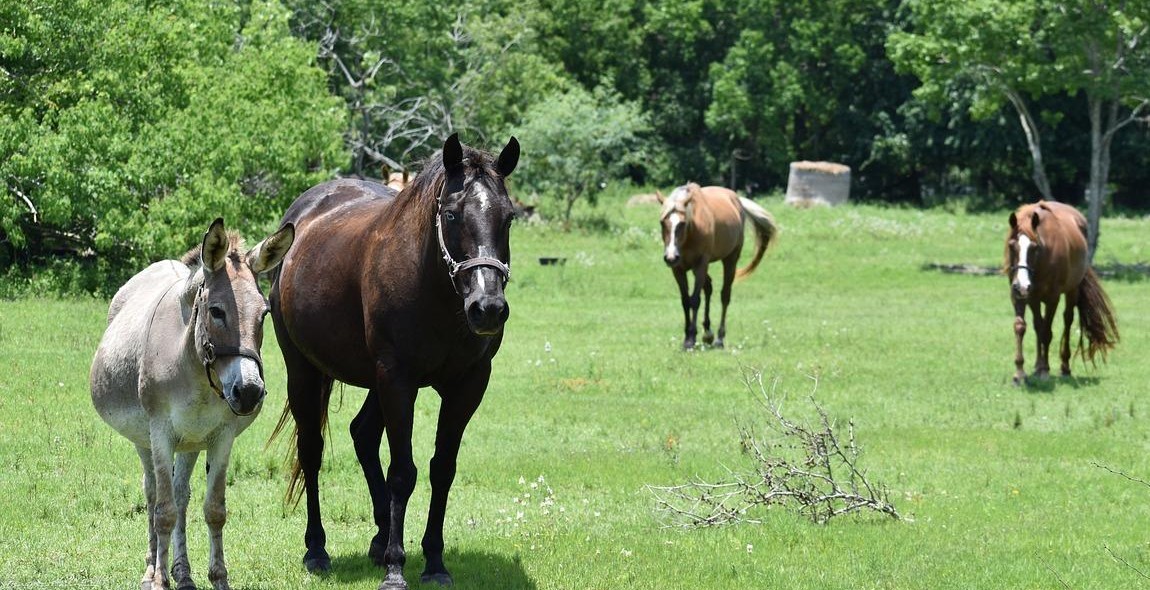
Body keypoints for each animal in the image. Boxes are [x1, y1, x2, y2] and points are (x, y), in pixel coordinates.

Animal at [90, 218, 296, 588]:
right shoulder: (160, 434)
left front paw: (218, 578)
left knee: (181, 493)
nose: (249, 392)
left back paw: (183, 573)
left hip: (190, 441)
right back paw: (152, 569)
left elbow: (214, 510)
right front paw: (159, 580)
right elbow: (163, 512)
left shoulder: (221, 437)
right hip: (145, 439)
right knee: (154, 493)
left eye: (264, 314)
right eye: (216, 312)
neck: (198, 376)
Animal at [266, 133, 519, 588]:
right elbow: (403, 472)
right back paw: (317, 549)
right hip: (305, 372)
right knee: (312, 451)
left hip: (373, 381)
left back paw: (380, 535)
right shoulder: (398, 381)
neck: (435, 288)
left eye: (508, 218)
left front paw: (434, 561)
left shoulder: (468, 384)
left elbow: (442, 469)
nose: (488, 308)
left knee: (363, 435)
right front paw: (396, 568)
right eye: (451, 214)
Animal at [662, 182, 777, 349]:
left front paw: (691, 338)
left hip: (729, 260)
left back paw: (719, 338)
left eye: (682, 224)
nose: (670, 256)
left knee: (725, 295)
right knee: (709, 287)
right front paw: (687, 338)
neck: (692, 232)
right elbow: (685, 301)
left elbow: (695, 300)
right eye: (662, 222)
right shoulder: (678, 269)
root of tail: (737, 200)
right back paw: (708, 333)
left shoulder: (701, 264)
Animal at [1002, 201, 1117, 386]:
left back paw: (1064, 367)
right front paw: (1020, 373)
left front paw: (1044, 370)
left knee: (1067, 320)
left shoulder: (1052, 298)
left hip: (1072, 290)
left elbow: (1046, 333)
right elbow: (1021, 327)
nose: (1022, 285)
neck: (1043, 258)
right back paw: (1037, 366)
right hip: (1033, 298)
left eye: (1034, 248)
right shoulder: (1019, 297)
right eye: (1011, 246)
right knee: (1038, 324)